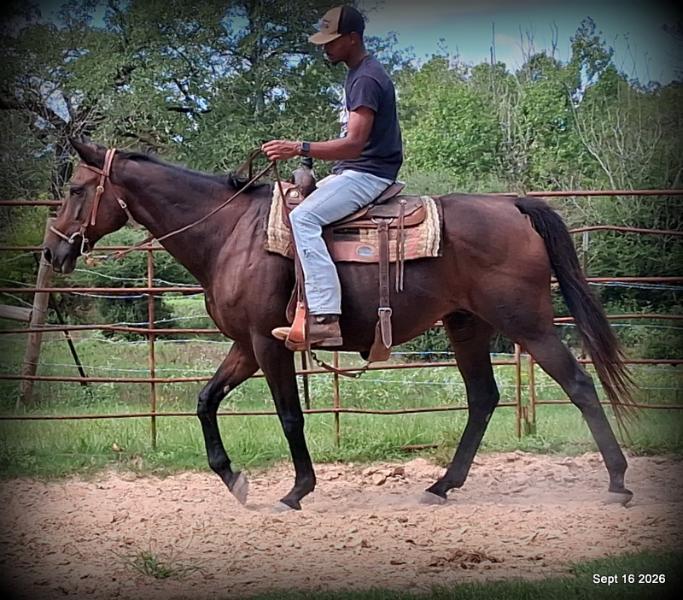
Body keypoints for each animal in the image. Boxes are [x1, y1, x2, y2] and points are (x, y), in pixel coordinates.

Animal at [43, 139, 635, 510]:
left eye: (75, 189)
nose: (53, 251)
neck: (230, 232)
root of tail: (512, 205)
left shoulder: (268, 345)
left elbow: (289, 416)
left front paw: (296, 491)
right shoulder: (246, 345)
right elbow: (206, 400)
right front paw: (233, 478)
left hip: (527, 323)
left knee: (579, 384)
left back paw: (618, 481)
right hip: (466, 325)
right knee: (483, 398)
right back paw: (442, 485)